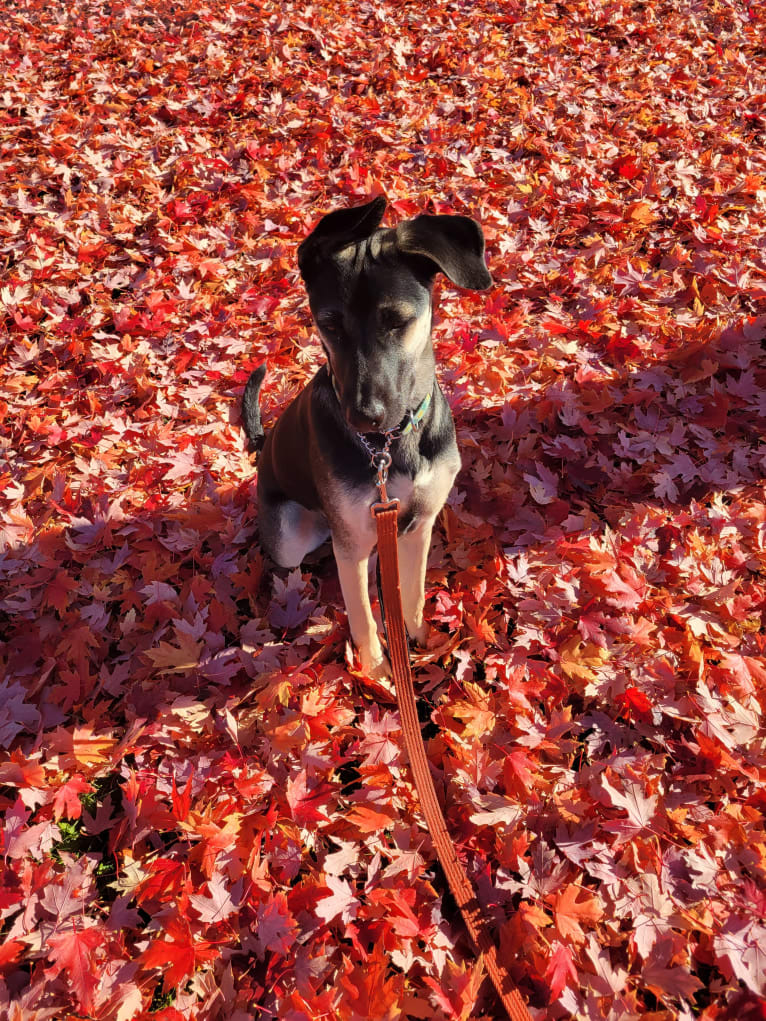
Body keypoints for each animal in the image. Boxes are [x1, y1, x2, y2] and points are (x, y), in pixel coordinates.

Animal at [243, 196, 494, 682]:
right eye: (330, 325)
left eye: (397, 321)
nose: (362, 417)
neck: (390, 445)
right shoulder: (353, 548)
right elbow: (362, 617)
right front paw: (378, 674)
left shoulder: (419, 525)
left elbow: (409, 597)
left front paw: (421, 642)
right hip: (290, 536)